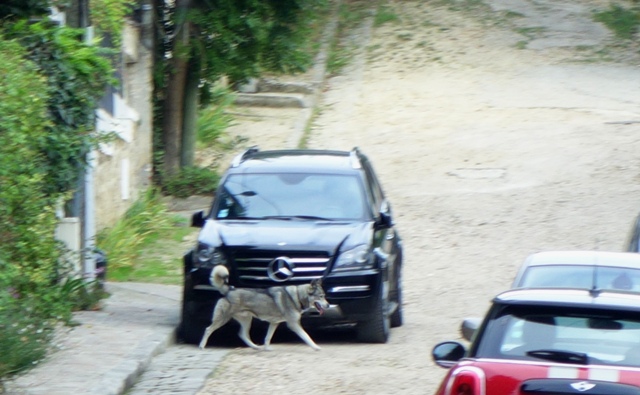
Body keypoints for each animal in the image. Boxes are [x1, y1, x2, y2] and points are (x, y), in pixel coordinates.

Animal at [199, 264, 330, 352]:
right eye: (321, 296)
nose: (328, 305)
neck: (297, 296)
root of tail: (228, 290)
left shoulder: (274, 323)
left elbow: (268, 337)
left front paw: (267, 348)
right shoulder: (293, 324)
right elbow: (306, 336)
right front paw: (316, 347)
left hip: (247, 320)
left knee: (242, 334)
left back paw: (256, 347)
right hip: (223, 319)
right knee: (208, 329)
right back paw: (201, 346)